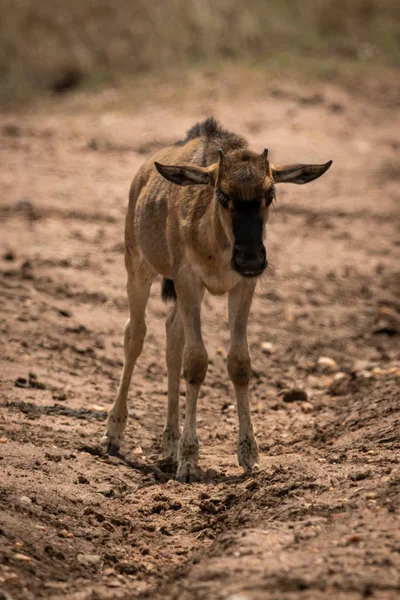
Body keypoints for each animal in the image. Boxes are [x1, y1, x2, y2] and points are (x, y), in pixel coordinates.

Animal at [101, 117, 332, 482]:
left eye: (270, 193)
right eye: (222, 195)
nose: (250, 258)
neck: (218, 241)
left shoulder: (241, 287)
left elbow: (239, 363)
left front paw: (249, 456)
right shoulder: (188, 280)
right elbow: (196, 363)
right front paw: (189, 462)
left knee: (172, 339)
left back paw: (169, 444)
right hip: (137, 266)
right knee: (135, 335)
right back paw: (113, 434)